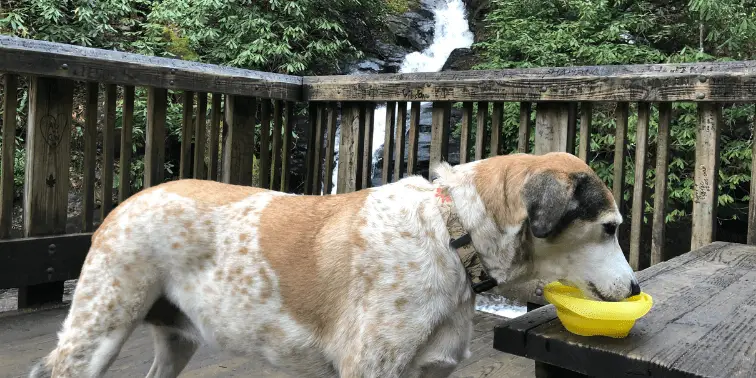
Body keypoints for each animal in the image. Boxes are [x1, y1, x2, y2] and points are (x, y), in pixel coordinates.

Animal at [32, 151, 640, 378]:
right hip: (99, 329)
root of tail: (127, 201)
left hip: (175, 339)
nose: (635, 286)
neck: (450, 236)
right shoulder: (369, 368)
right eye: (610, 228)